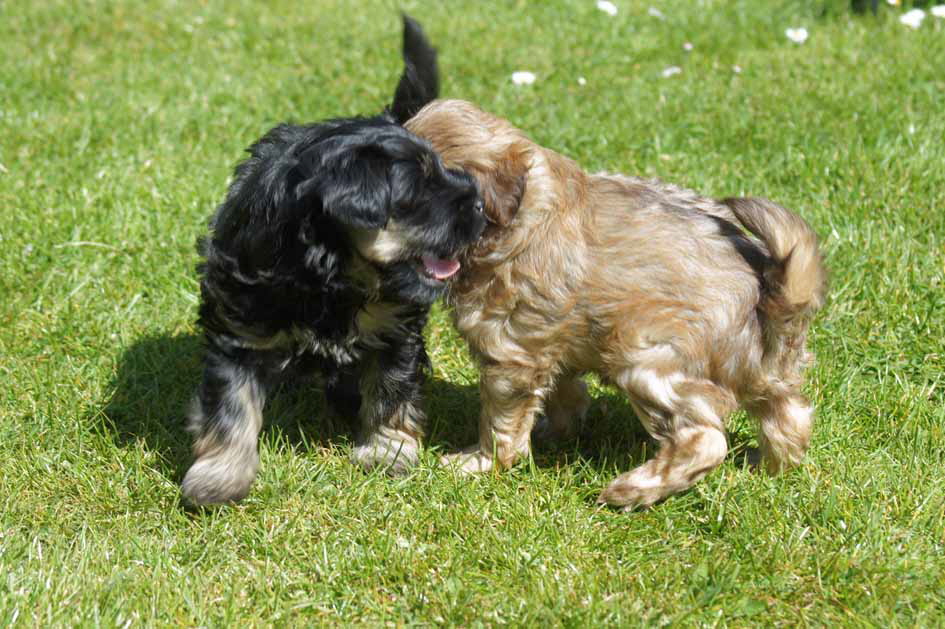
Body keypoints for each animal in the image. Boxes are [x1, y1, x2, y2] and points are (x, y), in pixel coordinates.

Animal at [181, 15, 484, 506]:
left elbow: (391, 388)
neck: (329, 274)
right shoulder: (240, 328)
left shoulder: (394, 328)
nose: (479, 203)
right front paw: (219, 478)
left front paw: (387, 451)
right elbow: (232, 406)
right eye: (420, 190)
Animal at [406, 99, 824, 510]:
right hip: (767, 375)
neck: (521, 213)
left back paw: (634, 489)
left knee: (705, 439)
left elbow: (501, 420)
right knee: (791, 416)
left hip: (646, 354)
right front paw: (558, 429)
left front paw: (480, 461)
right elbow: (564, 389)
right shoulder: (552, 341)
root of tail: (768, 290)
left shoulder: (510, 351)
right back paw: (768, 466)